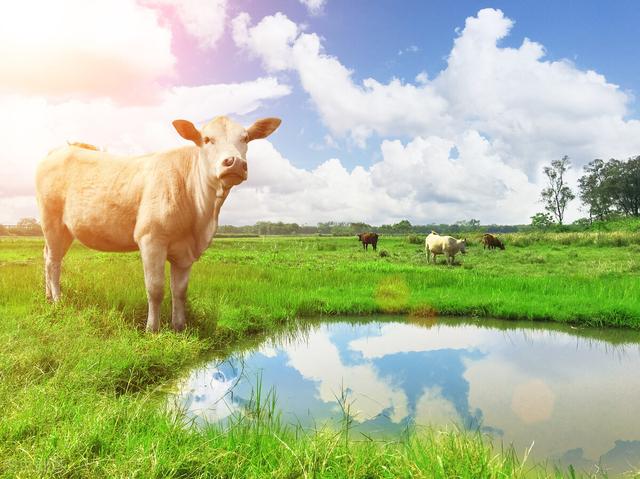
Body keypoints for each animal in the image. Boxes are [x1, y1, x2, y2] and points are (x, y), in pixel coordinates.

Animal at [36, 116, 282, 334]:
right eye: (207, 139)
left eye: (246, 138)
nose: (235, 162)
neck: (201, 218)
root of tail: (60, 150)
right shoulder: (151, 239)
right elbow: (155, 288)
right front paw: (152, 329)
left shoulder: (185, 251)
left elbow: (180, 291)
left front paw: (179, 327)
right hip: (52, 222)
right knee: (53, 262)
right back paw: (57, 300)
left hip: (65, 229)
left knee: (47, 256)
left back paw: (47, 297)